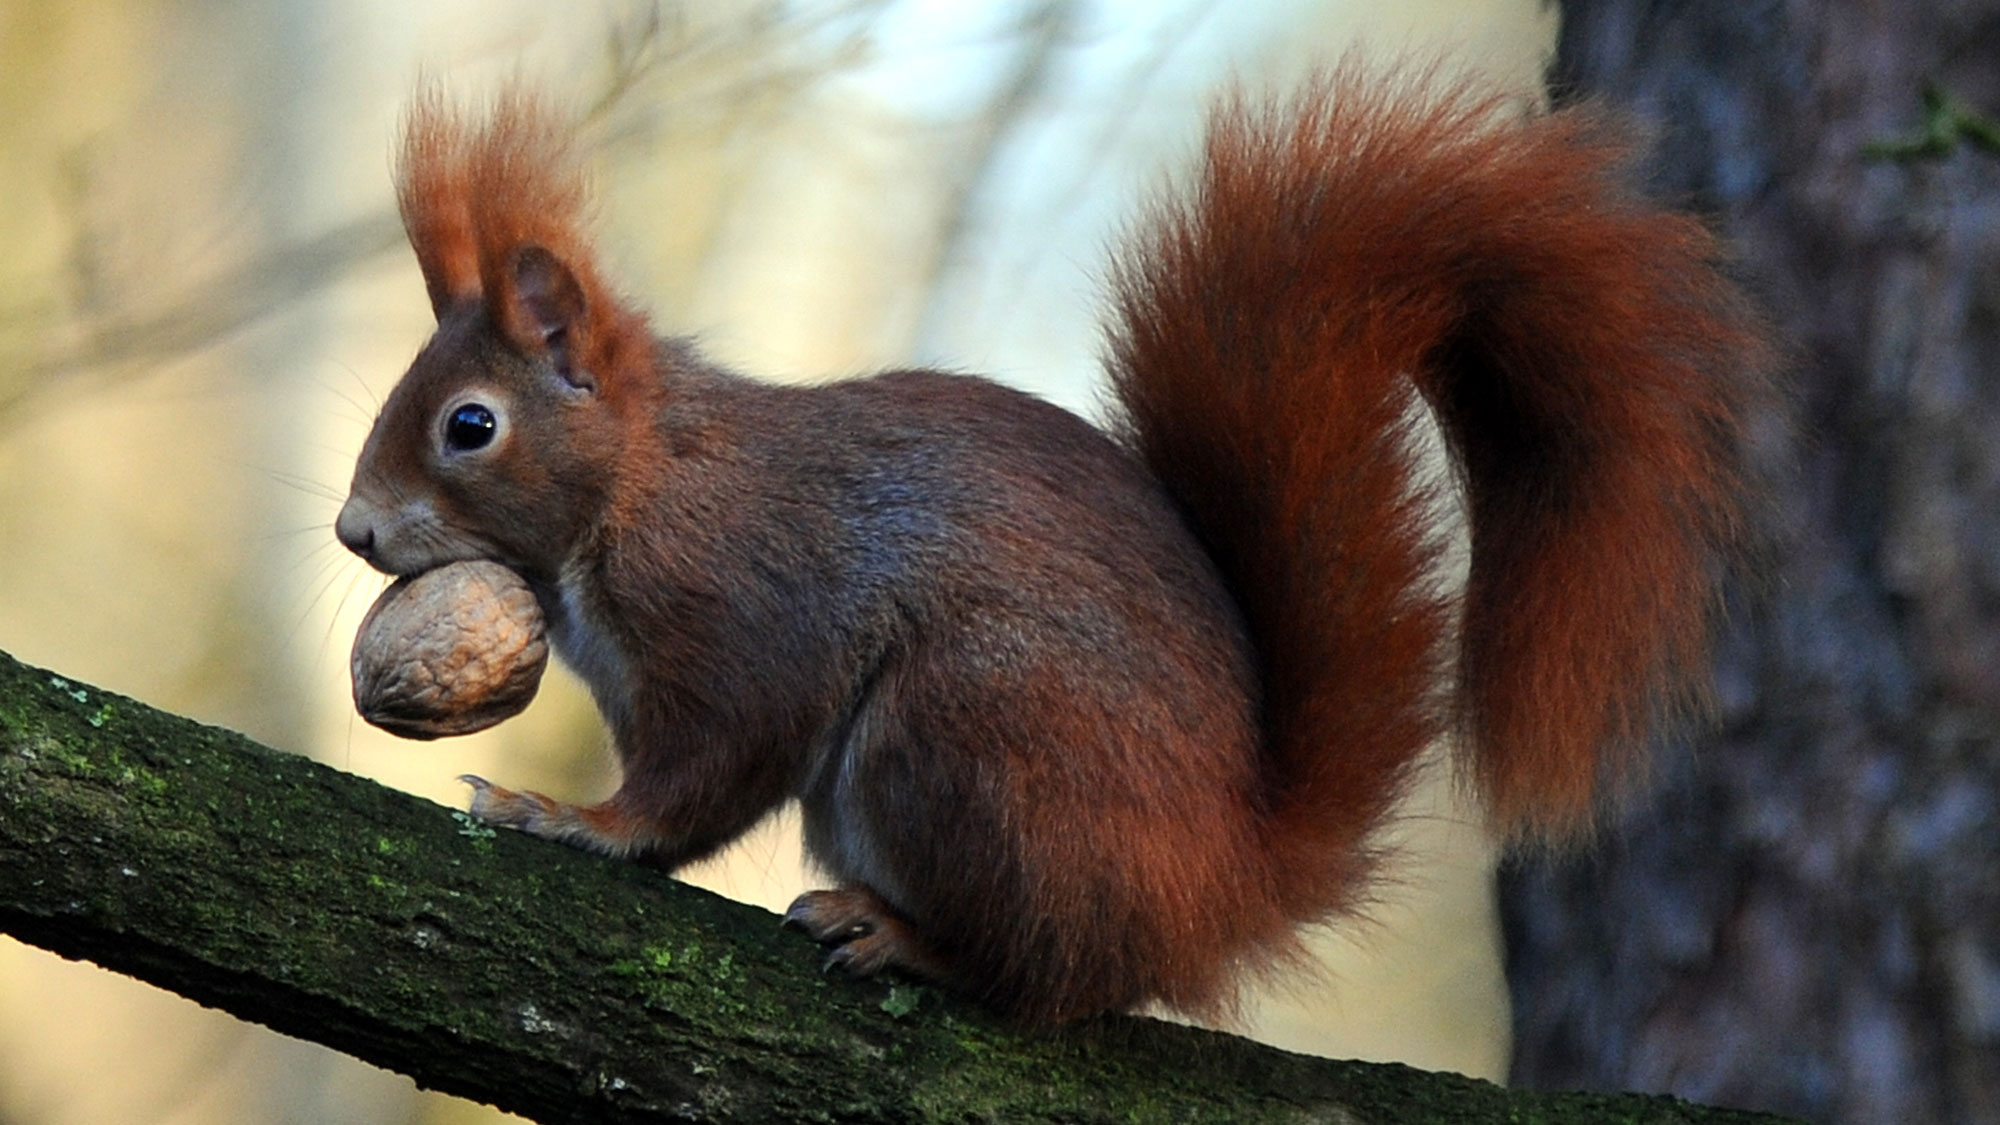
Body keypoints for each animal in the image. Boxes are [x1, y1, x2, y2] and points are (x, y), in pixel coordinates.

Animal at [340, 65, 1768, 1020]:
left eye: (470, 426)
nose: (353, 528)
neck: (637, 485)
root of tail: (1220, 886)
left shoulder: (743, 608)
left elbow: (708, 772)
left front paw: (570, 820)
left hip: (966, 734)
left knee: (1048, 977)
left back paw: (909, 941)